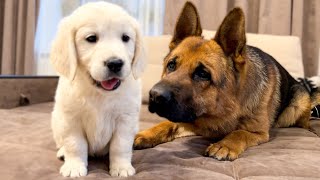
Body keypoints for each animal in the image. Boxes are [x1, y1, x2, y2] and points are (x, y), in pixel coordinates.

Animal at [50, 2, 145, 178]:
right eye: (91, 38)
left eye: (125, 38)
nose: (115, 63)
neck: (99, 93)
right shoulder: (71, 119)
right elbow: (75, 144)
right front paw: (74, 166)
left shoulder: (126, 119)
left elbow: (120, 146)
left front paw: (121, 167)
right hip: (57, 122)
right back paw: (62, 152)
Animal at [133, 2, 320, 160]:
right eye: (171, 65)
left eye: (203, 74)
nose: (155, 95)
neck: (223, 109)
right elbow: (166, 123)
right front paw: (146, 134)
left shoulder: (258, 133)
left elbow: (239, 133)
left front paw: (225, 145)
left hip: (296, 105)